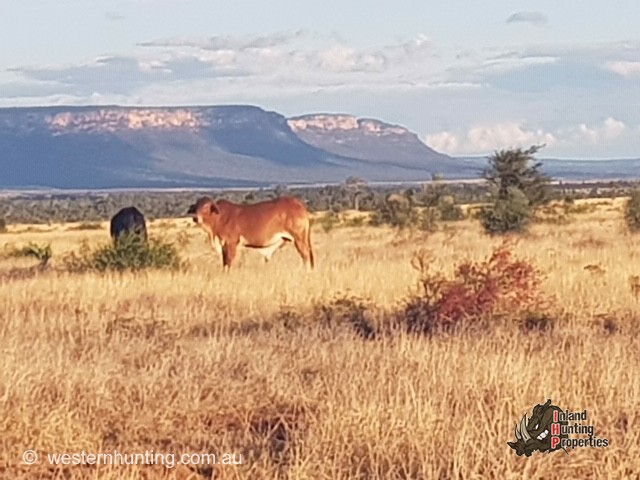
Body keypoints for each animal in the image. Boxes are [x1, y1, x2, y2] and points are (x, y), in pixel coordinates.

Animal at [186, 196, 314, 270]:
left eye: (206, 206)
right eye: (196, 207)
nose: (195, 218)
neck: (218, 218)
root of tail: (298, 204)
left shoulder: (231, 243)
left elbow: (229, 261)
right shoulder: (223, 245)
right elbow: (224, 262)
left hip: (299, 239)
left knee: (306, 256)